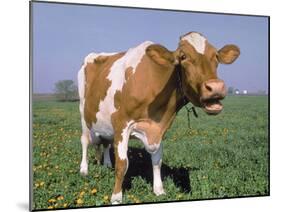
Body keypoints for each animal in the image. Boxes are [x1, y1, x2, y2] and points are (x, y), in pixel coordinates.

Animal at [76, 31, 238, 204]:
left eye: (216, 56)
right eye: (183, 56)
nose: (215, 87)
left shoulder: (160, 128)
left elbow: (157, 161)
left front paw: (159, 190)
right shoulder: (121, 124)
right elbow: (122, 164)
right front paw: (116, 197)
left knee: (106, 143)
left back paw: (106, 164)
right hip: (83, 113)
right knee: (85, 141)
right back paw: (84, 169)